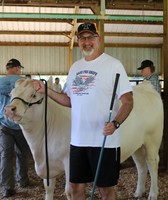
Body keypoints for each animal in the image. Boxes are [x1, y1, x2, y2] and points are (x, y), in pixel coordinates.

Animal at [3, 79, 163, 199]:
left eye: (33, 95)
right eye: (11, 94)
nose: (9, 109)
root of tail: (144, 86)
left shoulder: (70, 161)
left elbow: (69, 191)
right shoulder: (47, 165)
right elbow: (48, 189)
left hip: (152, 140)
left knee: (152, 164)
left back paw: (153, 194)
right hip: (137, 144)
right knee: (141, 166)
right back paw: (138, 192)